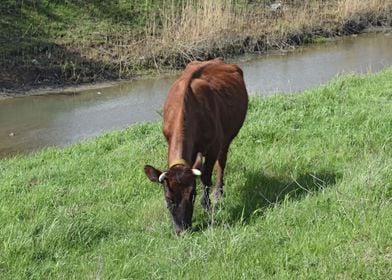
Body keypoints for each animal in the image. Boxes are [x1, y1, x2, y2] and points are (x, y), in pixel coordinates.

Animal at [144, 57, 248, 234]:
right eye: (168, 198)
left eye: (192, 195)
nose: (182, 230)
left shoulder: (213, 146)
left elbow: (206, 176)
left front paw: (206, 206)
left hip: (226, 138)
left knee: (222, 163)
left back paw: (218, 192)